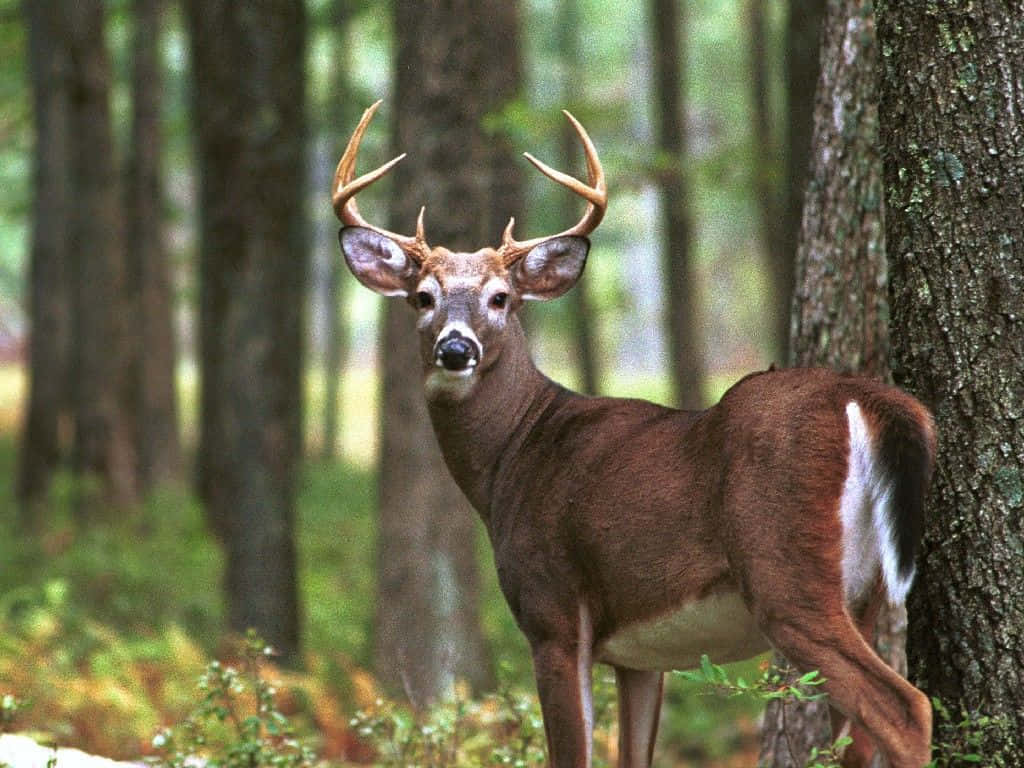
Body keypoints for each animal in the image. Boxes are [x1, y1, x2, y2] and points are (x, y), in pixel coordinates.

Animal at [333, 102, 937, 768]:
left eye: (501, 298)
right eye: (422, 297)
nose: (456, 348)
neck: (512, 456)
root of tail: (866, 398)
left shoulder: (552, 610)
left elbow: (570, 753)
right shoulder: (639, 656)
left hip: (787, 570)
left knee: (905, 707)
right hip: (866, 592)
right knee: (860, 734)